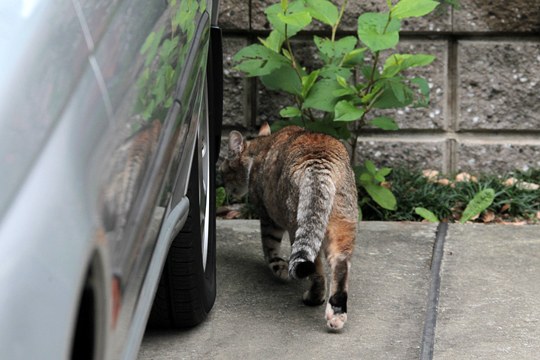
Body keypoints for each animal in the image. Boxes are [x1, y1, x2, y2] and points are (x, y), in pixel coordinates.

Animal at [220, 123, 358, 330]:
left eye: (222, 171)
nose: (223, 187)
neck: (260, 146)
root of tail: (320, 162)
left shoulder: (268, 217)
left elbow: (269, 247)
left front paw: (280, 269)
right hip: (342, 222)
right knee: (340, 265)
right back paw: (336, 314)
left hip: (296, 222)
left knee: (315, 268)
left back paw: (314, 298)